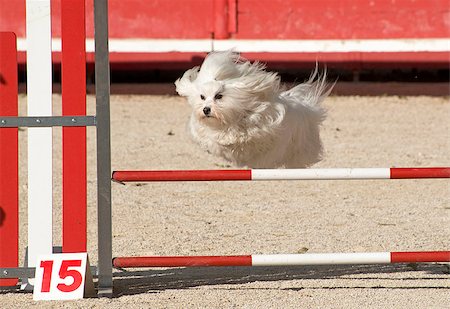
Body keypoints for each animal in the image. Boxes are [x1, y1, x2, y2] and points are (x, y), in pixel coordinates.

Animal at [176, 51, 334, 168]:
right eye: (202, 97)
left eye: (219, 96)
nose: (206, 109)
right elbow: (212, 139)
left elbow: (248, 133)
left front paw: (234, 137)